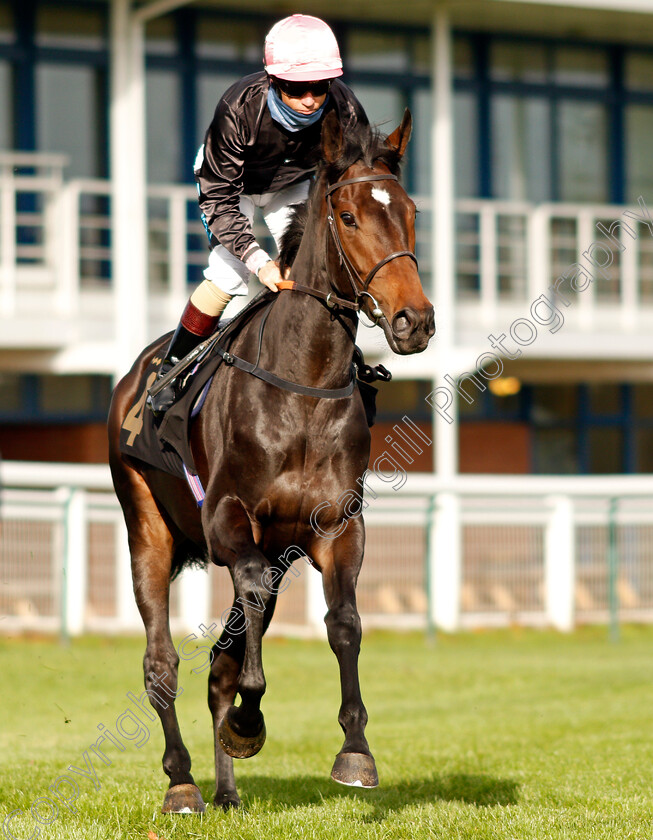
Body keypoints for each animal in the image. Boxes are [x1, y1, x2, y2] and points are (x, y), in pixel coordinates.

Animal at [108, 108, 432, 812]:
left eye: (411, 212)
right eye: (348, 217)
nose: (413, 320)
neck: (302, 384)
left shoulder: (336, 526)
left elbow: (343, 622)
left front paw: (355, 752)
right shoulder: (227, 521)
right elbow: (250, 609)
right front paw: (249, 722)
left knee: (217, 665)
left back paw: (226, 789)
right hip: (146, 525)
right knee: (161, 663)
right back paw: (182, 782)